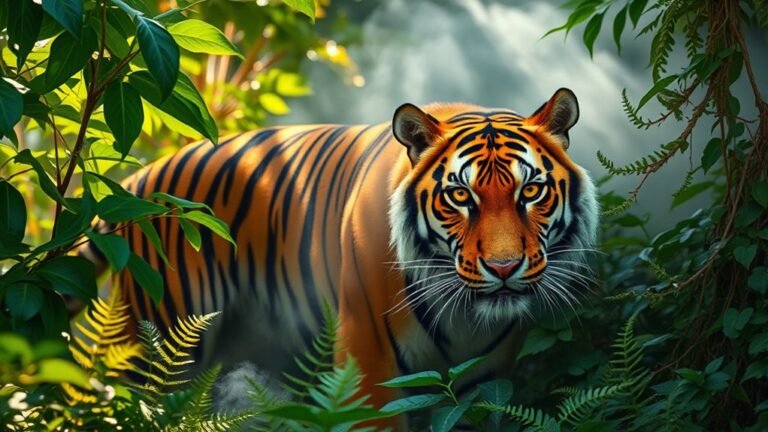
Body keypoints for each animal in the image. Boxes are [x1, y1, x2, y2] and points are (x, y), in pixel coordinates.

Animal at [90, 88, 597, 427]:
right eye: (460, 196)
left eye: (530, 191)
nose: (504, 267)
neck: (466, 318)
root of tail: (131, 185)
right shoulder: (368, 367)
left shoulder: (485, 384)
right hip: (158, 349)